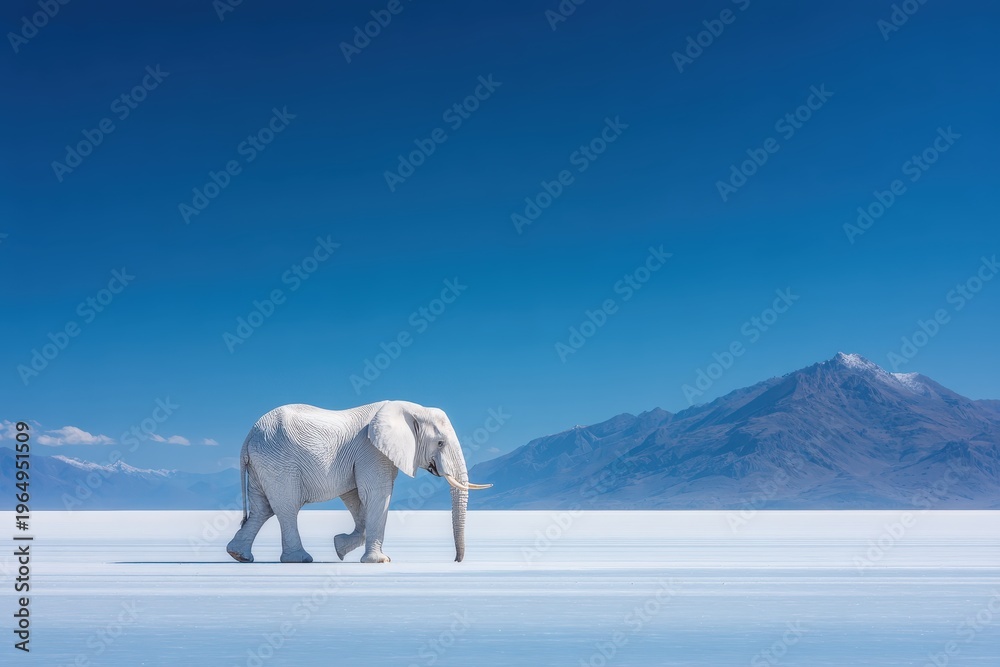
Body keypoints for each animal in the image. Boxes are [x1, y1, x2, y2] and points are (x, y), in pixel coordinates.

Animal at [225, 400, 491, 564]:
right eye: (440, 443)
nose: (456, 560)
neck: (410, 408)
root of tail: (248, 436)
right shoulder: (371, 450)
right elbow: (377, 494)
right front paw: (380, 561)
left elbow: (355, 496)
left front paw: (339, 547)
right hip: (278, 461)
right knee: (286, 507)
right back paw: (300, 559)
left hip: (263, 463)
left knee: (263, 509)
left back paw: (239, 555)